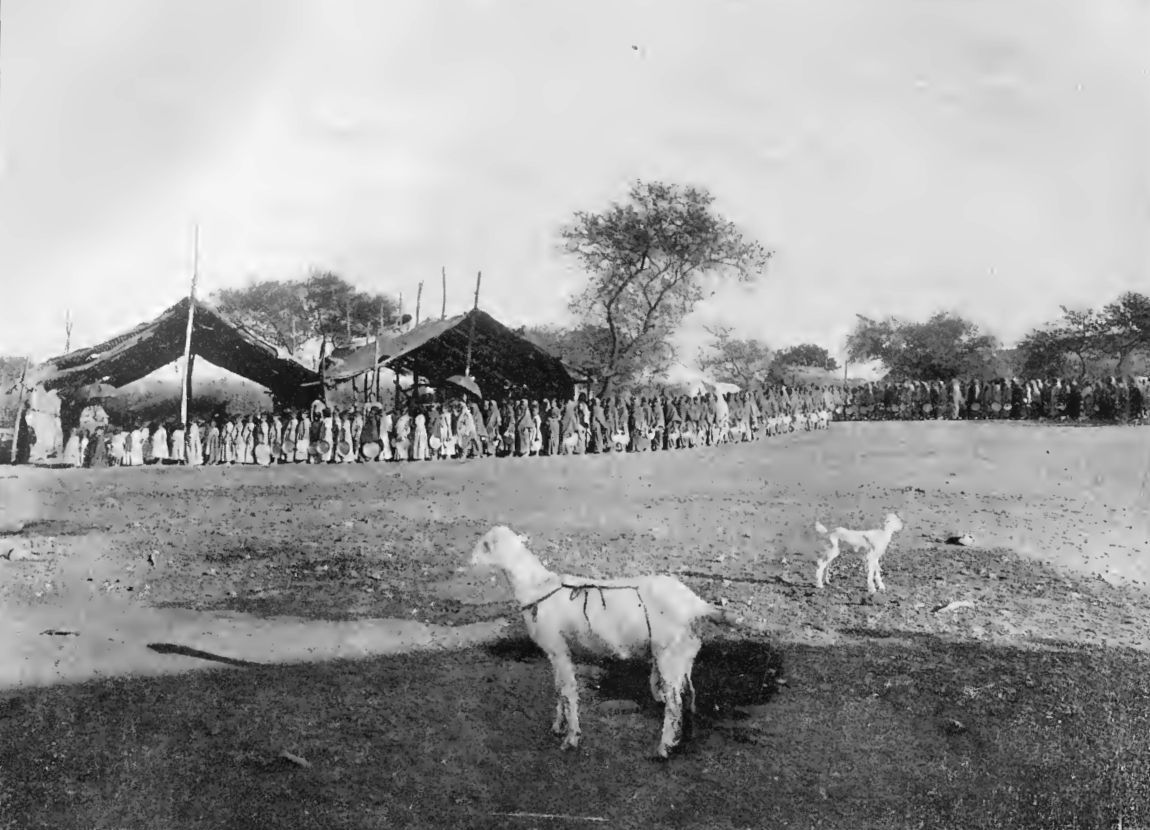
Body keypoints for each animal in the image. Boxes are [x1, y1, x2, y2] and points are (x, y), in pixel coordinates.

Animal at [469, 524, 745, 758]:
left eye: (484, 544)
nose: (468, 562)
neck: (537, 587)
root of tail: (695, 605)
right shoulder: (556, 652)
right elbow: (560, 690)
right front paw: (558, 726)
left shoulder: (558, 649)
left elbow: (568, 691)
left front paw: (571, 738)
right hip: (684, 654)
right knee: (689, 694)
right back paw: (683, 740)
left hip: (669, 654)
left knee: (675, 703)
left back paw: (664, 748)